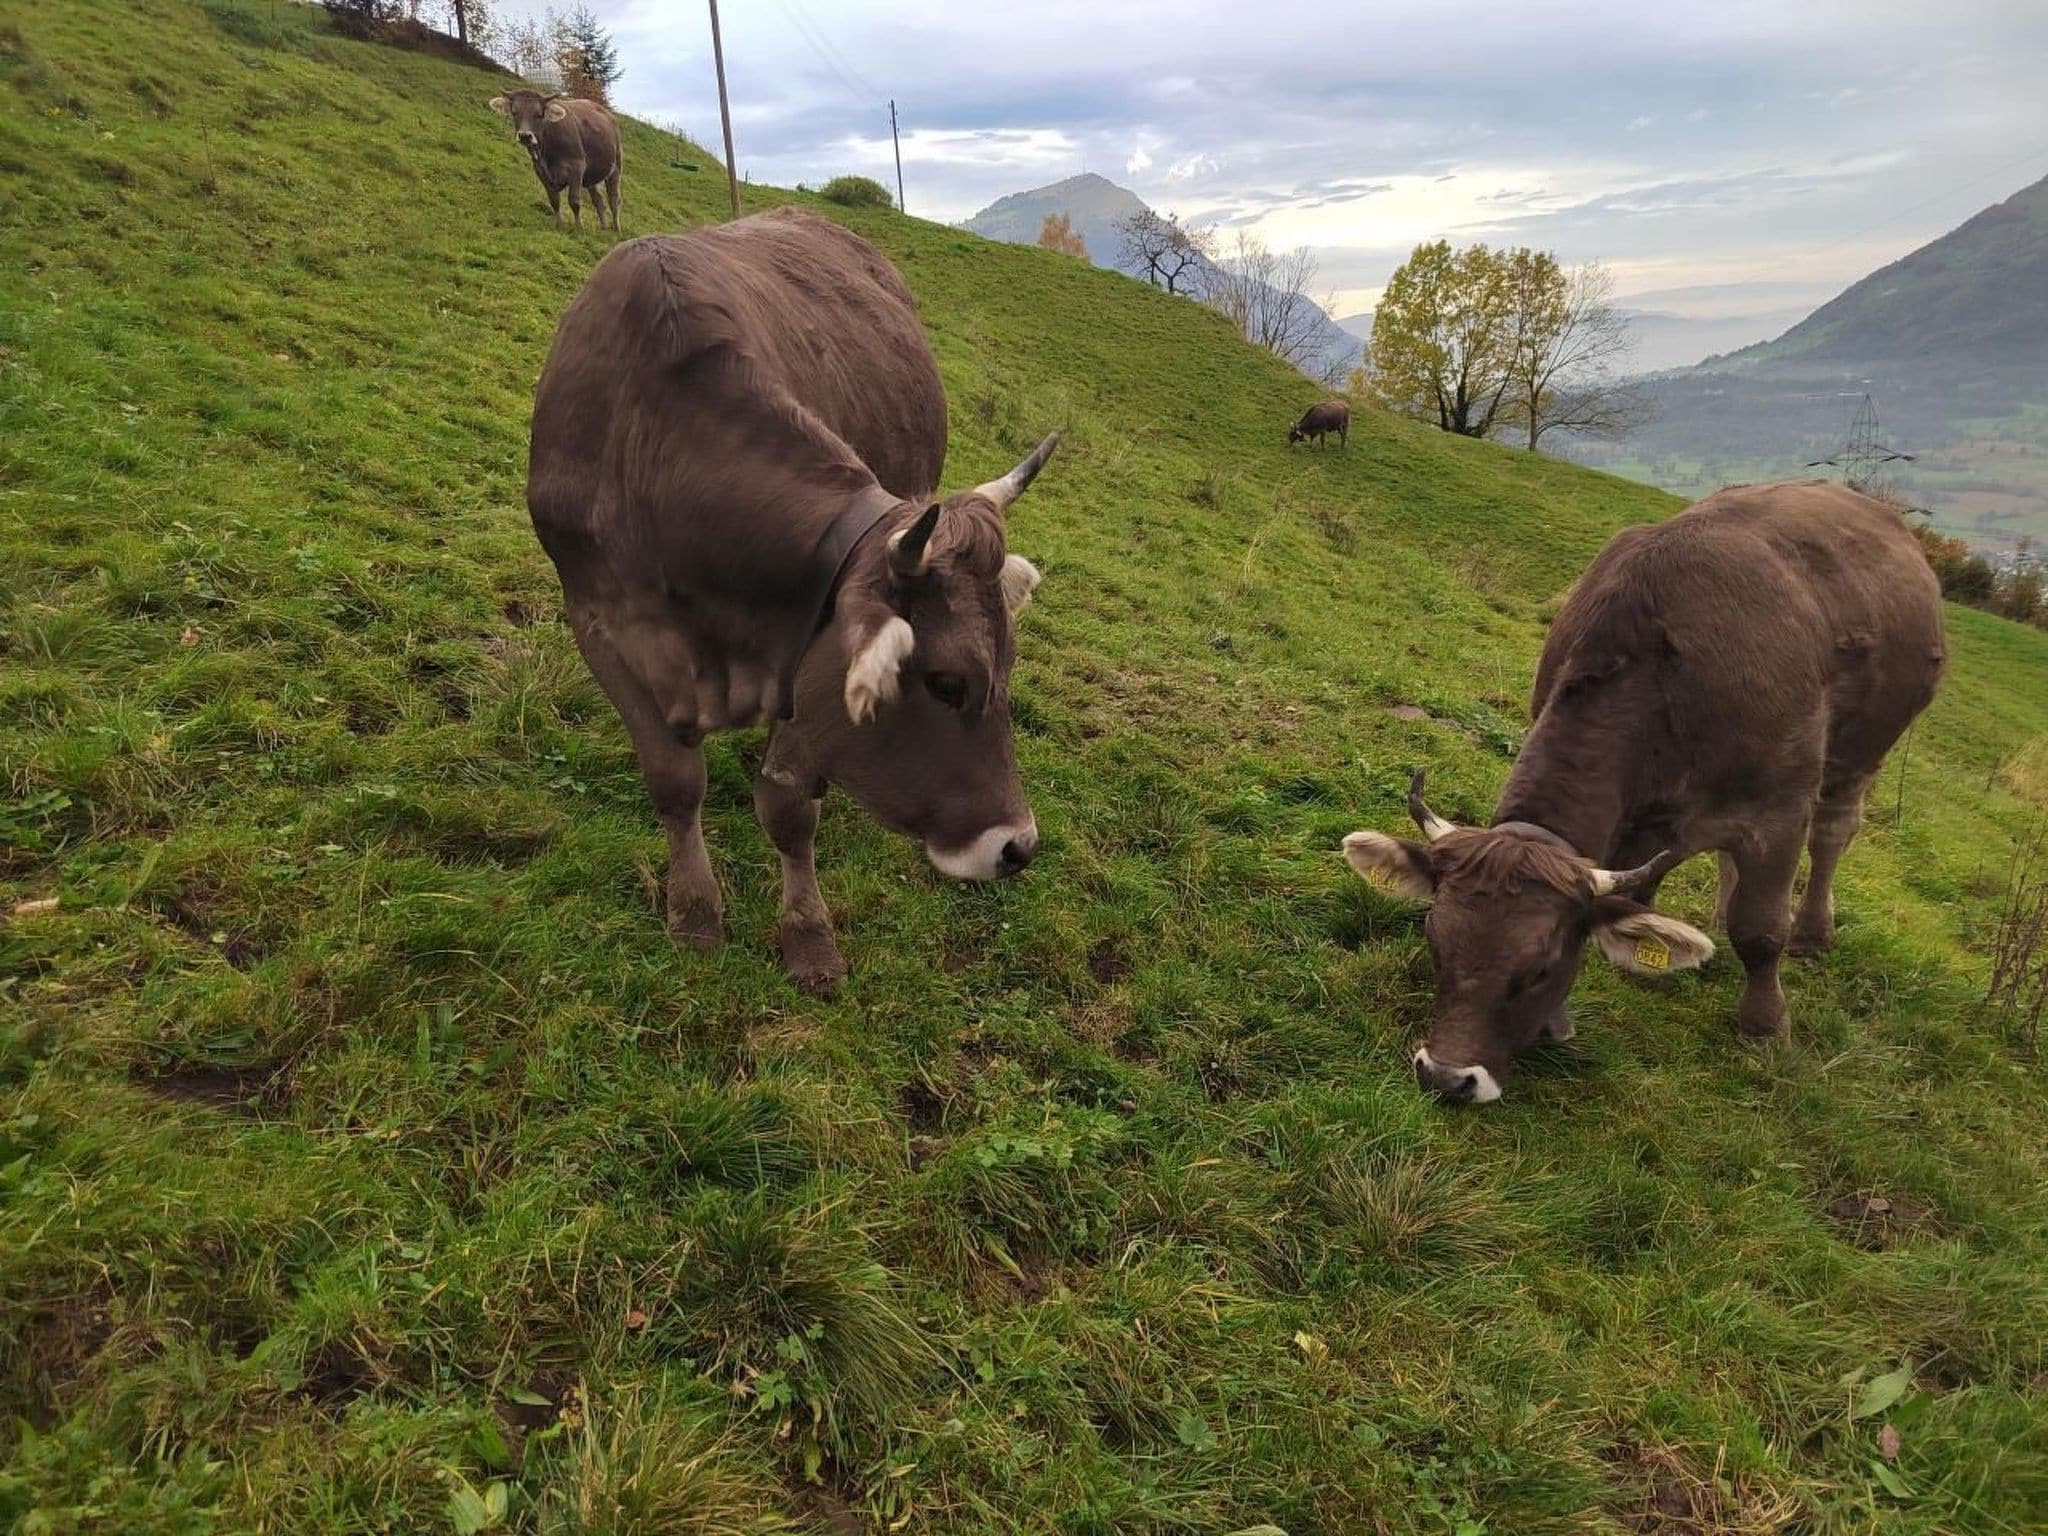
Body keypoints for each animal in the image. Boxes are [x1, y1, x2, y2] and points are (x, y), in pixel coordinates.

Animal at [488, 89, 622, 231]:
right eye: (514, 112)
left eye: (539, 114)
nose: (525, 135)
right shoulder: (541, 172)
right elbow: (554, 201)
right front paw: (559, 226)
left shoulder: (577, 167)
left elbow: (574, 201)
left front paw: (578, 228)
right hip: (592, 175)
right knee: (599, 201)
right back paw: (603, 229)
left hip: (616, 166)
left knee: (614, 199)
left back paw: (616, 229)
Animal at [526, 207, 1057, 993]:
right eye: (945, 681)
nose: (1017, 846)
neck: (650, 446)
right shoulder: (599, 624)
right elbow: (675, 783)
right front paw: (694, 914)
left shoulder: (798, 648)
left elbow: (786, 807)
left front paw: (808, 936)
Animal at [1341, 480, 1945, 1105]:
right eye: (1435, 941)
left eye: (1538, 968)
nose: (1445, 1077)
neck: (1666, 672)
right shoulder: (1640, 817)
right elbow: (1638, 896)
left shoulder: (1778, 810)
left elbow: (1760, 929)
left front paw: (1765, 1025)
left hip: (1863, 754)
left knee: (1832, 835)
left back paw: (1813, 933)